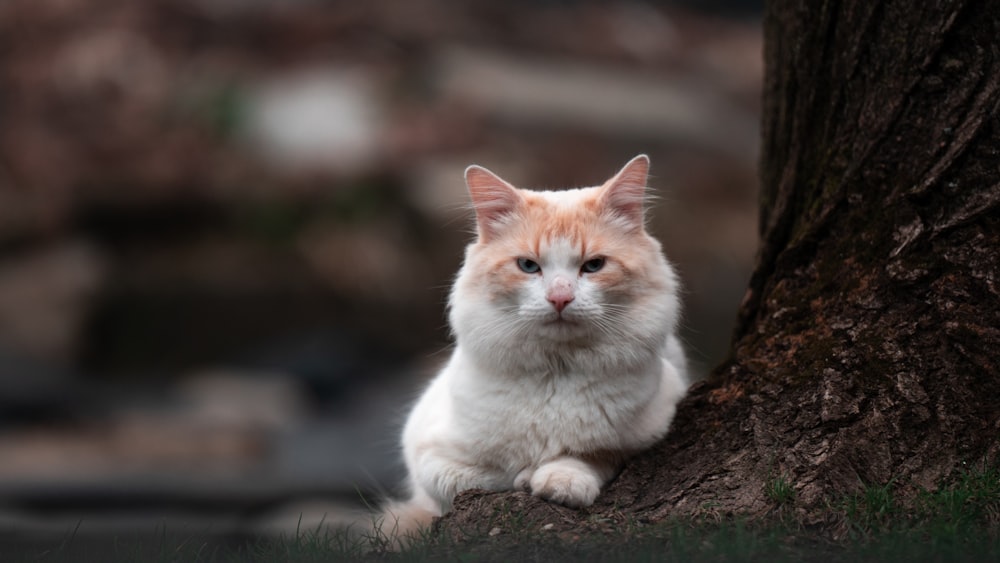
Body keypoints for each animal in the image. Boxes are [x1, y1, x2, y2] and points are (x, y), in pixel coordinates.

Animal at [376, 156, 688, 544]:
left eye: (594, 266)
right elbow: (486, 477)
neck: (555, 371)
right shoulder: (429, 458)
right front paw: (527, 476)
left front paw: (560, 482)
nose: (560, 298)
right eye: (528, 266)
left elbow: (588, 458)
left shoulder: (640, 437)